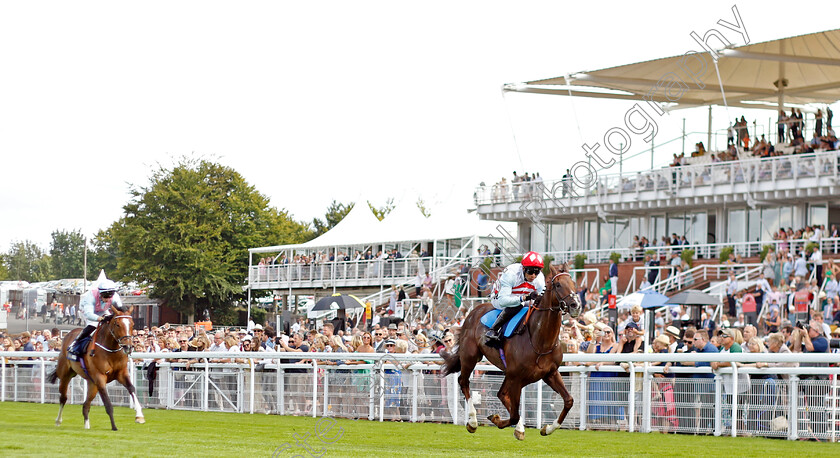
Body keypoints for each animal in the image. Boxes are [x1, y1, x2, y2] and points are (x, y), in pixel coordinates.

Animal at [440, 264, 584, 440]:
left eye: (573, 283)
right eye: (557, 285)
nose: (575, 305)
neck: (539, 340)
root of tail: (473, 311)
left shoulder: (550, 373)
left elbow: (569, 400)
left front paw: (548, 428)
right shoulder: (516, 377)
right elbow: (514, 414)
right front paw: (498, 421)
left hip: (509, 373)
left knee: (501, 394)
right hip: (470, 356)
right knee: (464, 382)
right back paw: (473, 421)